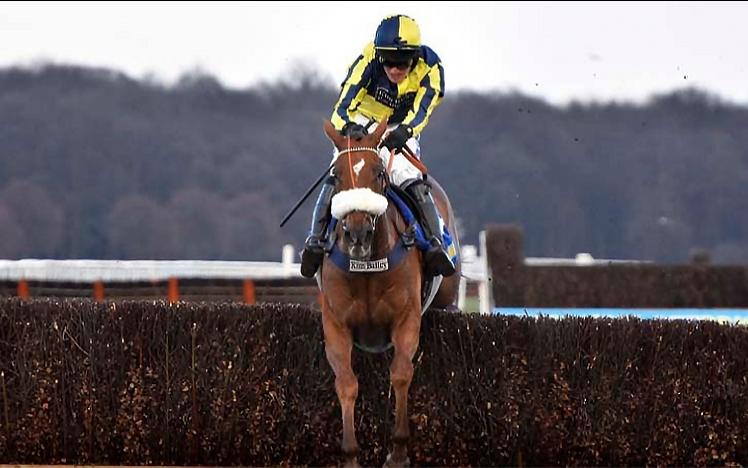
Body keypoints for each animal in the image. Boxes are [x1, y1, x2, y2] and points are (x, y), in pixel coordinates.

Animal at [318, 120, 458, 468]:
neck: (367, 264)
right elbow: (347, 383)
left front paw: (398, 451)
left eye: (379, 173)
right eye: (335, 176)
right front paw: (351, 454)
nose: (358, 234)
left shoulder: (406, 319)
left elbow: (401, 374)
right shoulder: (335, 325)